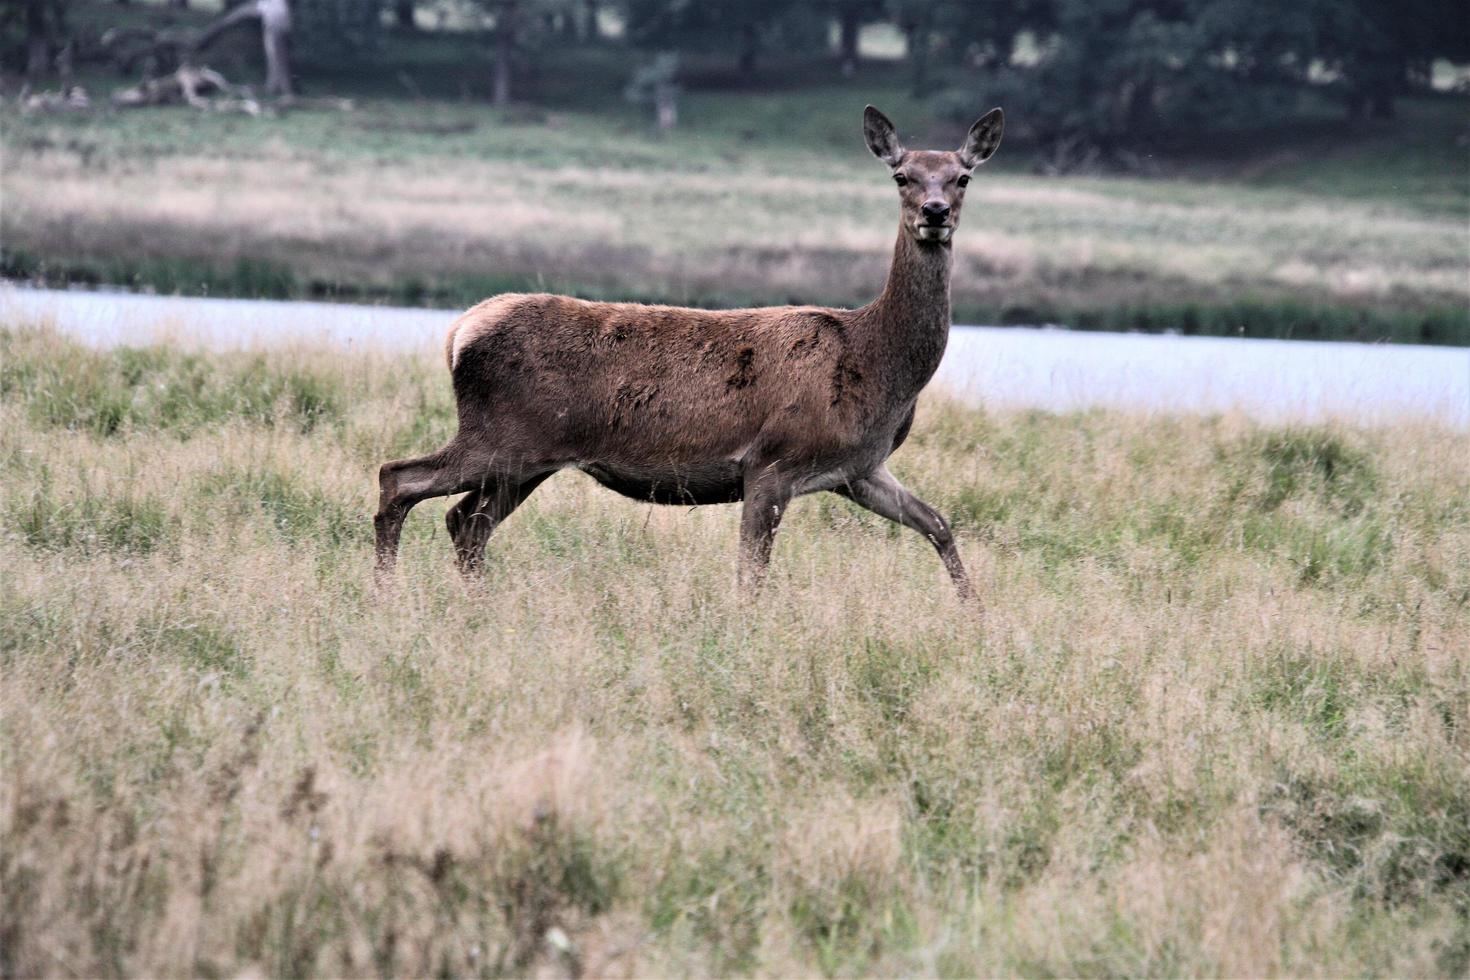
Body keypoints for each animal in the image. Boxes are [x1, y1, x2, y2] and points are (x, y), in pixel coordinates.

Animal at [373, 105, 1005, 599]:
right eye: (901, 176)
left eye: (962, 178)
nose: (934, 213)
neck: (877, 366)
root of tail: (459, 331)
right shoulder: (771, 460)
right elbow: (751, 574)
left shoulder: (859, 468)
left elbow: (939, 523)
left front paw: (974, 612)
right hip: (504, 436)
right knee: (399, 479)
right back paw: (385, 594)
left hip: (529, 456)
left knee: (465, 521)